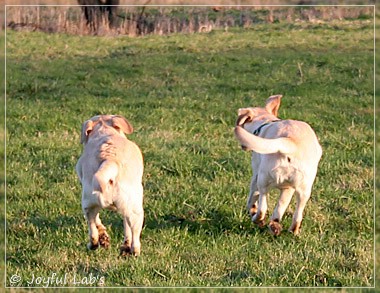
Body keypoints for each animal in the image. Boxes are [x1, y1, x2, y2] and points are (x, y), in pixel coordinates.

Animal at [76, 114, 145, 256]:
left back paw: (96, 242)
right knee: (134, 233)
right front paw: (126, 244)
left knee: (93, 225)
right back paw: (132, 250)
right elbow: (127, 228)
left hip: (88, 204)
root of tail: (110, 160)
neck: (104, 131)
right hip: (135, 209)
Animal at [235, 96, 320, 235]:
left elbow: (252, 198)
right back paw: (286, 229)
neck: (265, 122)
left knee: (262, 207)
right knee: (297, 215)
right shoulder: (288, 189)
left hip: (263, 179)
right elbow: (280, 206)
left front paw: (252, 210)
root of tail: (290, 142)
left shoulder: (256, 174)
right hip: (304, 190)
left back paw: (257, 219)